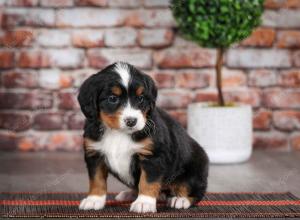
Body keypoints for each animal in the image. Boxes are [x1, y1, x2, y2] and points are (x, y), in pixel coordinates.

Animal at [77, 62, 209, 213]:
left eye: (140, 98)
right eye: (112, 98)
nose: (131, 121)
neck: (119, 133)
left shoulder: (153, 157)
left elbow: (147, 182)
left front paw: (144, 203)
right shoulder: (95, 154)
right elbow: (96, 180)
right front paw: (94, 199)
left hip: (194, 170)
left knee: (194, 190)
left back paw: (180, 200)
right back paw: (130, 194)